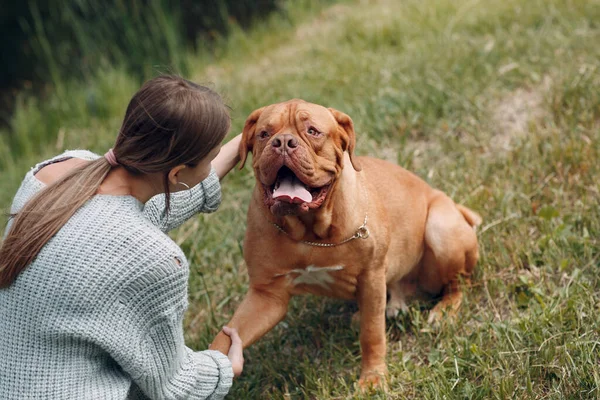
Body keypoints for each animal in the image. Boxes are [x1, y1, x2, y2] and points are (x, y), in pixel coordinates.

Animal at [209, 98, 480, 386]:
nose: (282, 141)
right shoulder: (267, 296)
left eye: (313, 131)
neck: (308, 233)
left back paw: (443, 311)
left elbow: (371, 334)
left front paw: (372, 378)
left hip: (441, 228)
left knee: (459, 284)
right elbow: (226, 337)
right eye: (264, 134)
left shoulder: (371, 277)